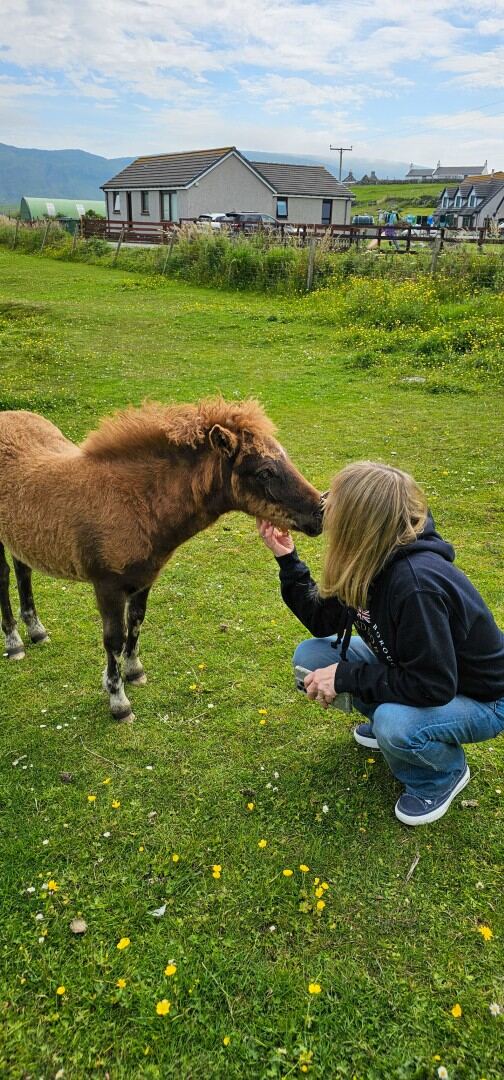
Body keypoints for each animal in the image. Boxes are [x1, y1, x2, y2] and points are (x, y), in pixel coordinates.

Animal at [0, 398, 323, 722]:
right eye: (265, 471)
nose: (320, 512)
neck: (133, 502)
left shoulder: (144, 577)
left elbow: (136, 621)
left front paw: (133, 672)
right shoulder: (107, 585)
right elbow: (114, 639)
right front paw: (118, 702)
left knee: (23, 570)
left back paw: (36, 631)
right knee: (5, 576)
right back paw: (14, 643)